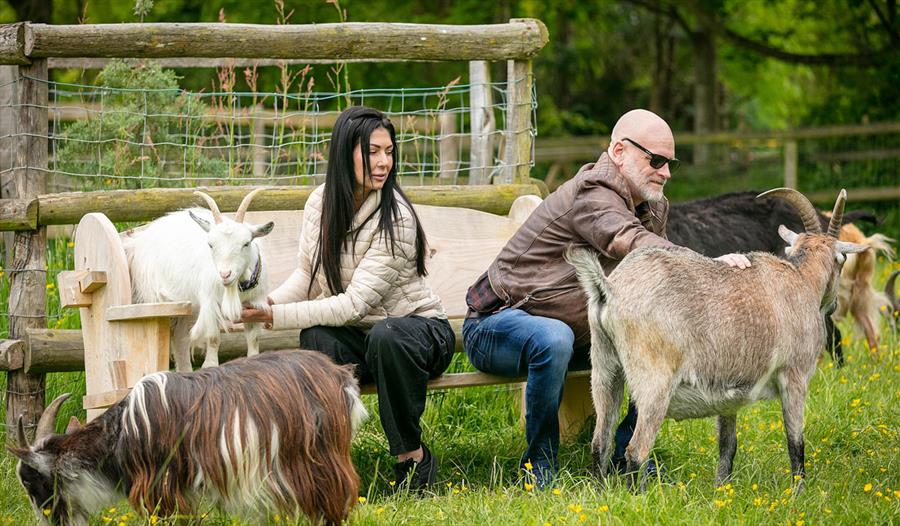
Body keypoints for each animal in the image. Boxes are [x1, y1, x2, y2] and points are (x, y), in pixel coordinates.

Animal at [7, 350, 366, 526]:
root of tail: (340, 377)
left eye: (31, 482)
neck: (122, 433)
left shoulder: (158, 485)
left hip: (316, 458)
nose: (47, 522)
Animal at [122, 189, 274, 372]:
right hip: (154, 299)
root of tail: (137, 241)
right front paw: (210, 365)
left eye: (246, 243)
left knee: (180, 339)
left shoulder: (254, 304)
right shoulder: (210, 303)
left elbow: (253, 338)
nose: (225, 274)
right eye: (210, 244)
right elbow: (213, 337)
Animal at [568, 189, 864, 490]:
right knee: (636, 450)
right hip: (653, 382)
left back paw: (600, 492)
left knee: (600, 442)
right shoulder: (794, 376)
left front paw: (722, 489)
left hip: (605, 369)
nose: (834, 305)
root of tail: (609, 289)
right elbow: (795, 442)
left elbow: (727, 445)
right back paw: (636, 495)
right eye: (842, 260)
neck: (801, 279)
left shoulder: (727, 390)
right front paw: (799, 491)